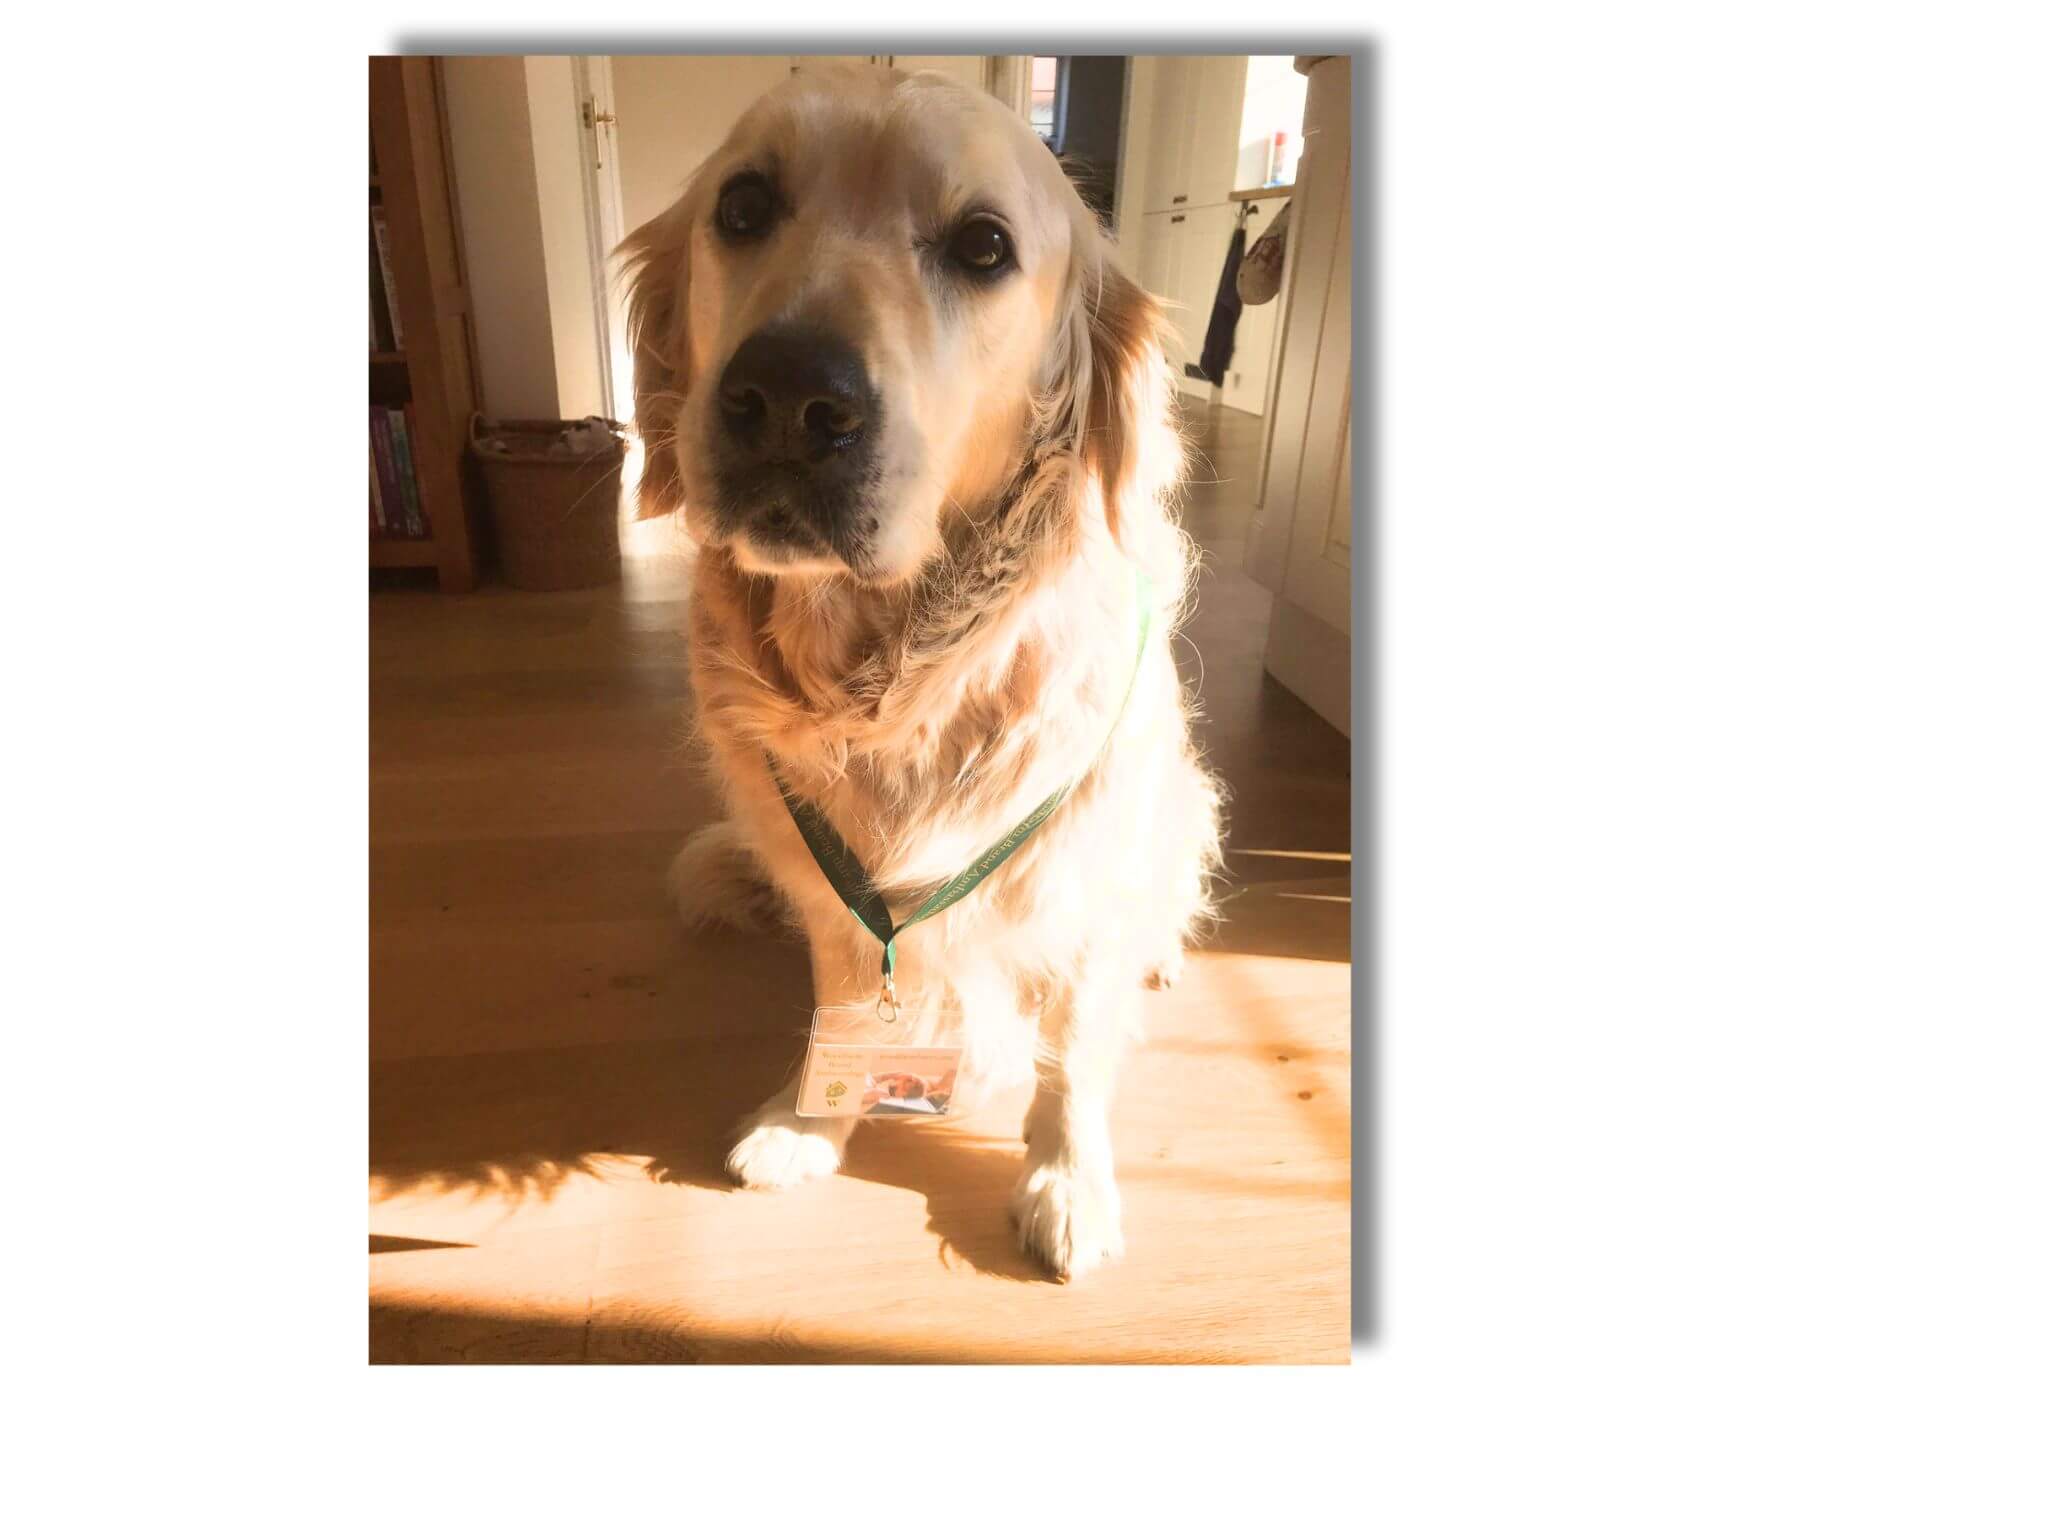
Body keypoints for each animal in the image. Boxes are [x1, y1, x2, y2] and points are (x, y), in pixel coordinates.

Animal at [620, 63, 1223, 1279]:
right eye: (743, 206)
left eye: (983, 245)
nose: (788, 399)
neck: (893, 680)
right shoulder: (829, 879)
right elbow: (849, 996)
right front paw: (810, 1120)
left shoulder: (1087, 860)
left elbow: (1075, 1045)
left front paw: (1067, 1178)